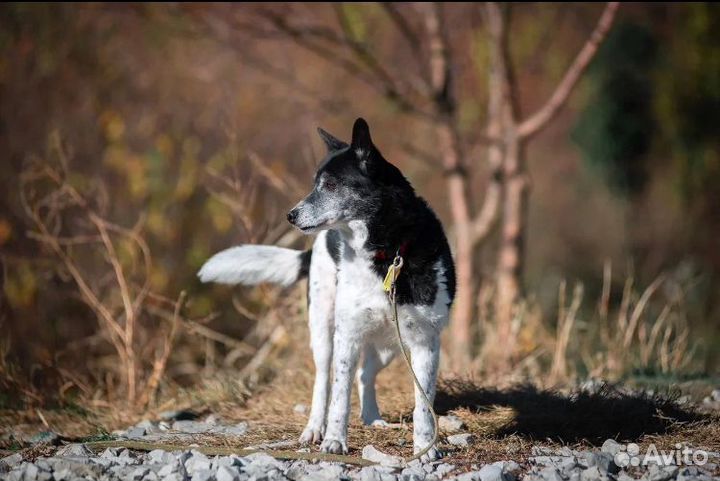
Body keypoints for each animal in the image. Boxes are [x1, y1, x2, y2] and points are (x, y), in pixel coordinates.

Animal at [197, 118, 456, 460]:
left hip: (389, 343)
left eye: (331, 185)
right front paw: (334, 441)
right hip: (324, 329)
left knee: (365, 374)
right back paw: (314, 429)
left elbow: (423, 404)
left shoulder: (426, 342)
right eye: (314, 183)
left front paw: (425, 448)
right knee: (324, 381)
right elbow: (339, 396)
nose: (290, 215)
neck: (386, 253)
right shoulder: (347, 335)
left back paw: (372, 418)